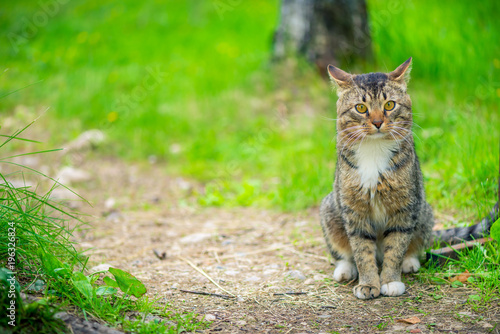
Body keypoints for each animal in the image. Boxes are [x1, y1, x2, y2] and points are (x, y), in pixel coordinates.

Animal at [320, 58, 492, 302]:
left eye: (389, 105)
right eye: (361, 108)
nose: (377, 122)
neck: (374, 151)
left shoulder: (405, 208)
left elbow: (396, 247)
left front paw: (390, 281)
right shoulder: (355, 211)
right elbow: (362, 251)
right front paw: (368, 283)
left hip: (424, 209)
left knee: (415, 244)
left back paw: (409, 263)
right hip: (330, 209)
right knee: (344, 252)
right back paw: (345, 269)